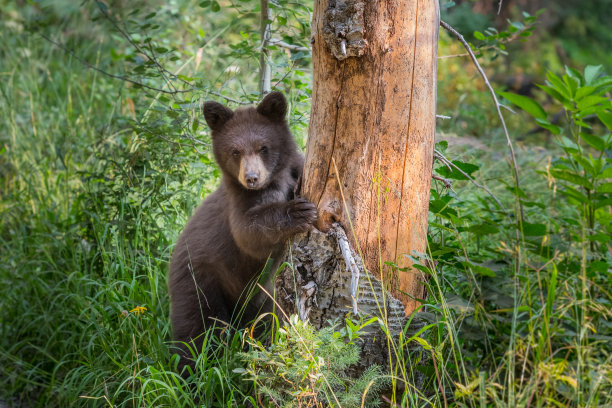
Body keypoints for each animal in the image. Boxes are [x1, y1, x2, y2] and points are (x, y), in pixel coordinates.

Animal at [170, 91, 318, 368]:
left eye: (263, 147)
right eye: (235, 151)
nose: (251, 178)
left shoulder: (296, 167)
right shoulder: (238, 201)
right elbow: (248, 233)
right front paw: (299, 212)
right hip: (198, 282)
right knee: (198, 331)